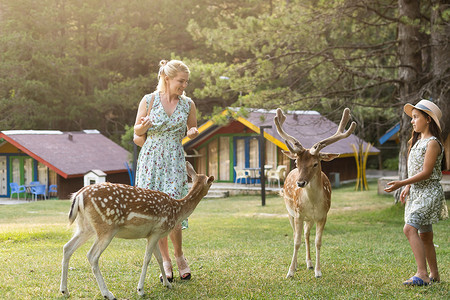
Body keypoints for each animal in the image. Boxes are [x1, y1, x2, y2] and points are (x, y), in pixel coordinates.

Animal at [59, 162, 214, 300]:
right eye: (210, 183)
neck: (176, 211)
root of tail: (79, 196)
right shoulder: (157, 231)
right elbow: (147, 259)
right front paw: (140, 290)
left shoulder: (152, 234)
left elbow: (159, 258)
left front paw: (167, 284)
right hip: (106, 228)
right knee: (92, 255)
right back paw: (108, 294)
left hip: (85, 227)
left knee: (67, 247)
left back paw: (65, 291)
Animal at [272, 108, 356, 278]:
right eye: (297, 162)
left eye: (315, 163)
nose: (300, 183)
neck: (312, 203)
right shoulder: (298, 214)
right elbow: (296, 241)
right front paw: (290, 271)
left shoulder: (323, 216)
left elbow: (318, 242)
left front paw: (318, 271)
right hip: (289, 212)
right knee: (296, 235)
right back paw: (297, 264)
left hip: (309, 219)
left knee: (306, 234)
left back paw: (309, 263)